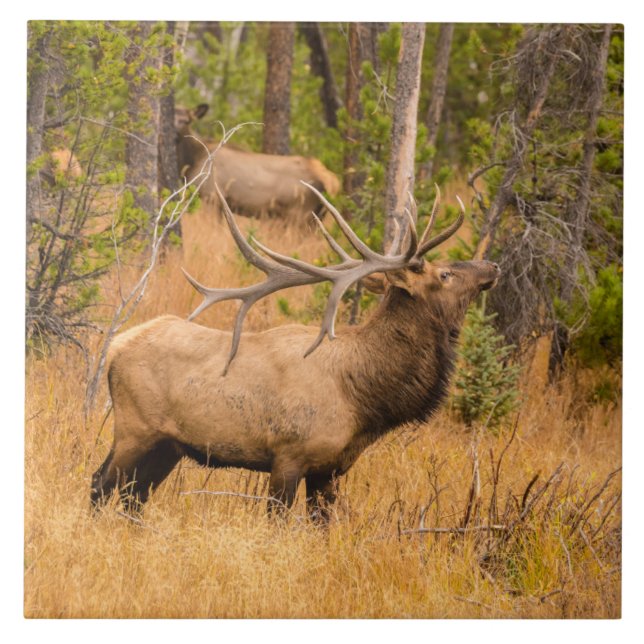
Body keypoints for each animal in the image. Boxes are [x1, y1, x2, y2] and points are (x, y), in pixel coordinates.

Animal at [90, 184, 500, 523]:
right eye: (445, 274)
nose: (492, 265)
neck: (362, 398)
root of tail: (115, 346)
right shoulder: (288, 454)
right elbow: (278, 522)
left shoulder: (330, 469)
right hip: (135, 428)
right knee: (101, 482)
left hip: (169, 445)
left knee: (134, 497)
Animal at [175, 104, 340, 221]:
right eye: (174, 116)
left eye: (188, 120)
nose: (177, 131)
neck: (193, 160)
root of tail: (333, 183)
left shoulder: (211, 197)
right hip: (316, 216)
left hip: (300, 213)